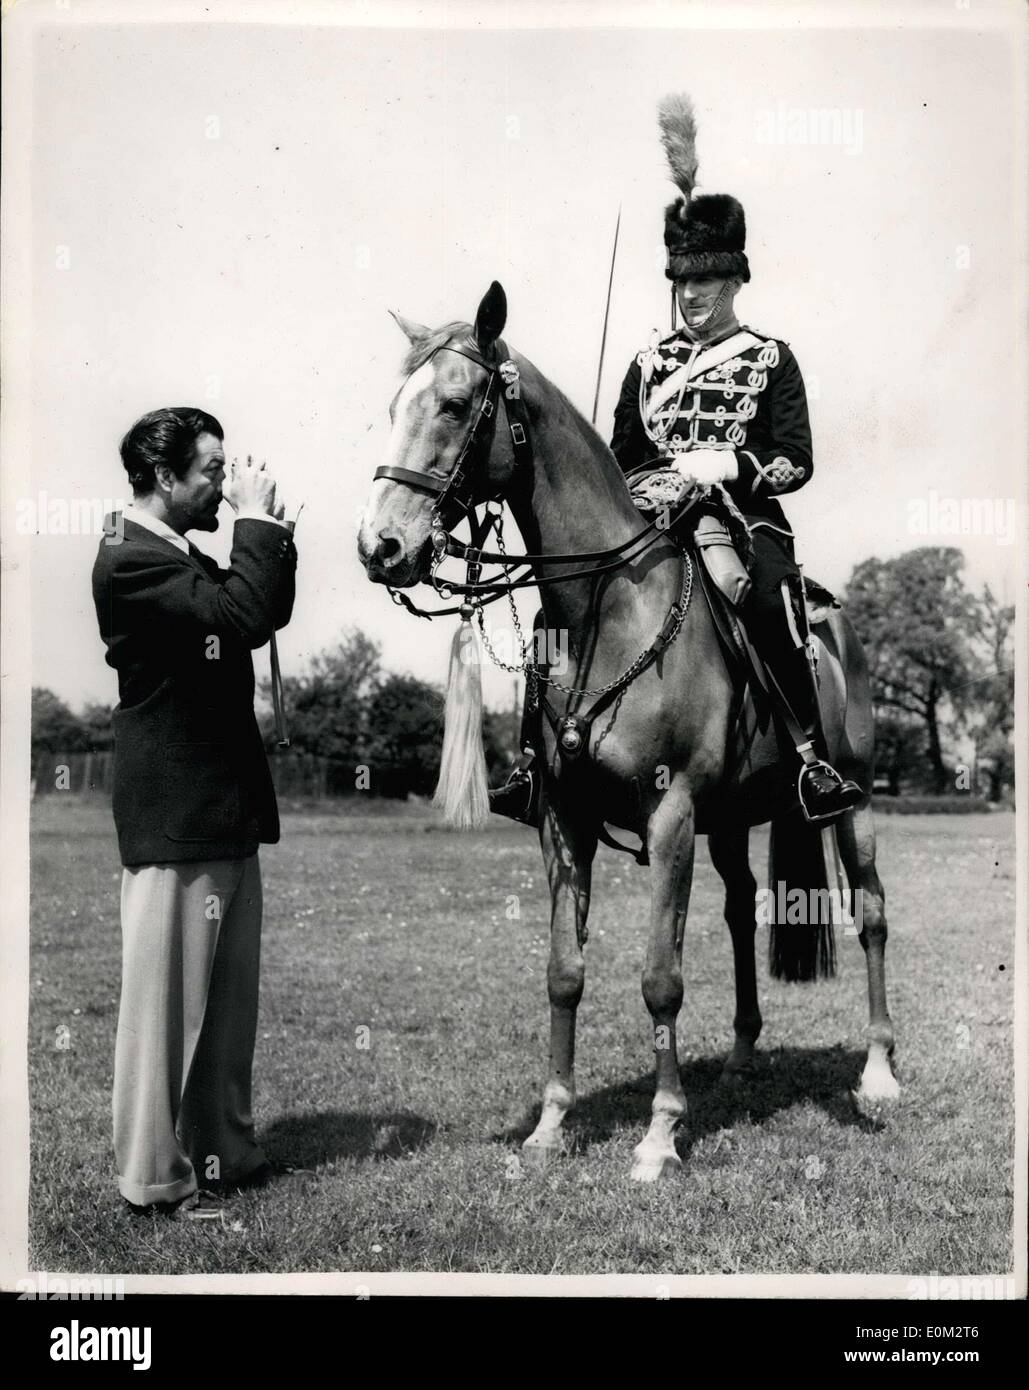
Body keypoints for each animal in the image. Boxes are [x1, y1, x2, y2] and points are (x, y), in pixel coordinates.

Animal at [358, 281, 899, 1182]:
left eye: (455, 404)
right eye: (391, 405)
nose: (381, 546)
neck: (603, 610)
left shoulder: (669, 814)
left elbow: (659, 978)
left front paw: (659, 1134)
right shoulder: (563, 820)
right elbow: (563, 972)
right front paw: (551, 1122)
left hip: (852, 804)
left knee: (871, 915)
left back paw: (881, 1070)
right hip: (730, 820)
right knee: (741, 911)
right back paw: (743, 1054)